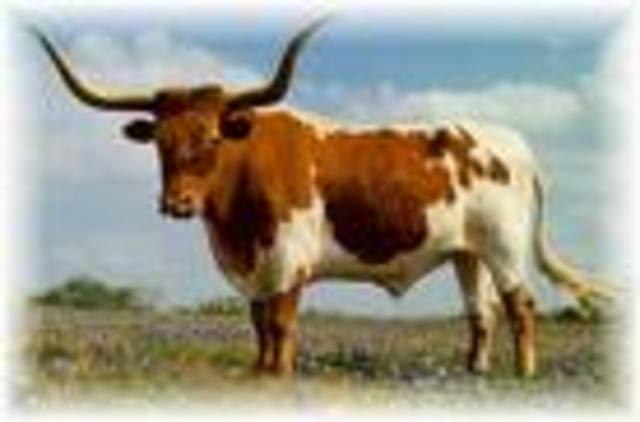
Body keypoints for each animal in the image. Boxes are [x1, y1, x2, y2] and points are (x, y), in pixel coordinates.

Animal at [33, 18, 613, 377]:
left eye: (214, 139)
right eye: (160, 141)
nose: (177, 205)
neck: (231, 225)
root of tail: (512, 142)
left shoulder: (288, 257)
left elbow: (281, 321)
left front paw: (280, 375)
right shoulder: (252, 264)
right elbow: (258, 321)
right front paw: (259, 372)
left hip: (504, 247)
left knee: (521, 305)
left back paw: (525, 373)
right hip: (467, 253)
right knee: (481, 311)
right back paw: (476, 370)